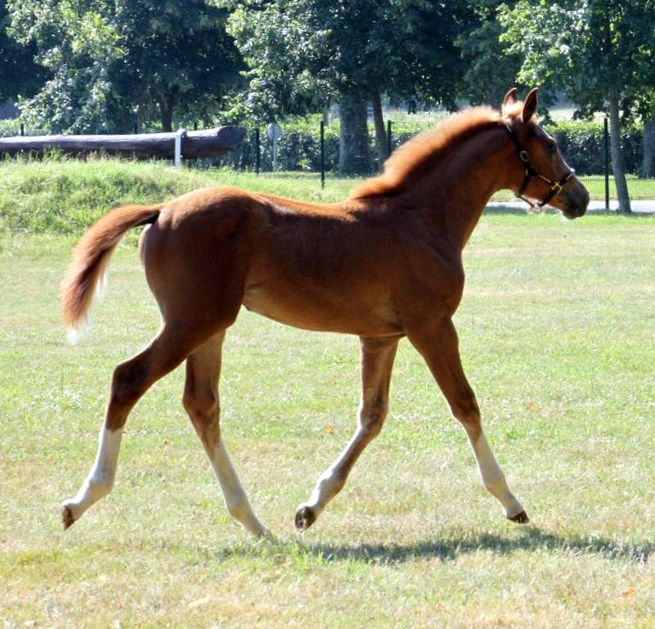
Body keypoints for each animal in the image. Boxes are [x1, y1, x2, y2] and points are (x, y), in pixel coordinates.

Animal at [61, 88, 588, 536]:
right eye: (550, 143)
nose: (579, 197)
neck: (420, 219)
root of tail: (161, 210)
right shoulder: (432, 327)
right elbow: (465, 404)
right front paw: (511, 502)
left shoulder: (381, 337)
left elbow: (372, 416)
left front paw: (311, 507)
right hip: (191, 322)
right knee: (129, 378)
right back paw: (82, 499)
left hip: (210, 327)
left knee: (201, 404)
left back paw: (253, 520)